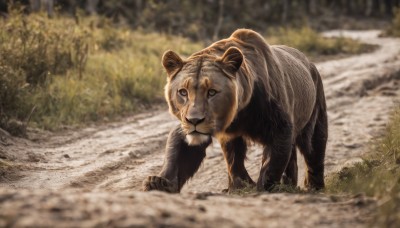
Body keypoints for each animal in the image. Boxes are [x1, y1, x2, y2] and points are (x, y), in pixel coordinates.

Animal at [142, 28, 326, 192]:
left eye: (211, 92)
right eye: (183, 92)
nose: (194, 120)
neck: (235, 116)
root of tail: (309, 62)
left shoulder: (279, 126)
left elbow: (272, 163)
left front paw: (261, 188)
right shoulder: (191, 128)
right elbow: (184, 155)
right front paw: (158, 183)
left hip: (315, 116)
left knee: (314, 151)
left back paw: (313, 187)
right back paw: (286, 185)